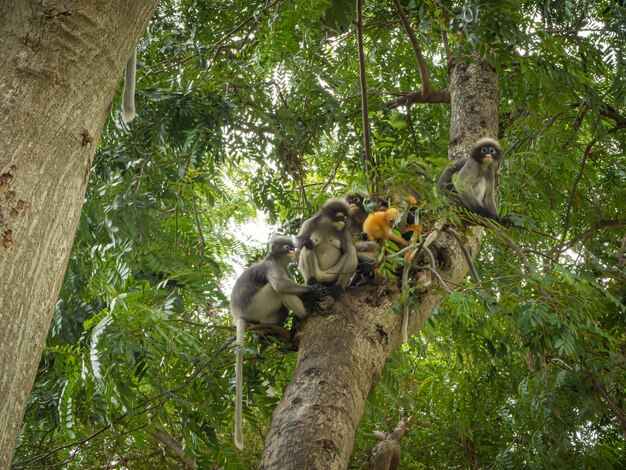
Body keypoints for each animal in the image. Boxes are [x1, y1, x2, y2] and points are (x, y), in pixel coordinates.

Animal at [229, 237, 326, 450]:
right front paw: (312, 289)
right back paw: (305, 311)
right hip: (257, 305)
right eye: (285, 246)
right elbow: (280, 285)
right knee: (277, 292)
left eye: (291, 246)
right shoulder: (270, 266)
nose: (292, 250)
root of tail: (238, 313)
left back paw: (266, 335)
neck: (277, 261)